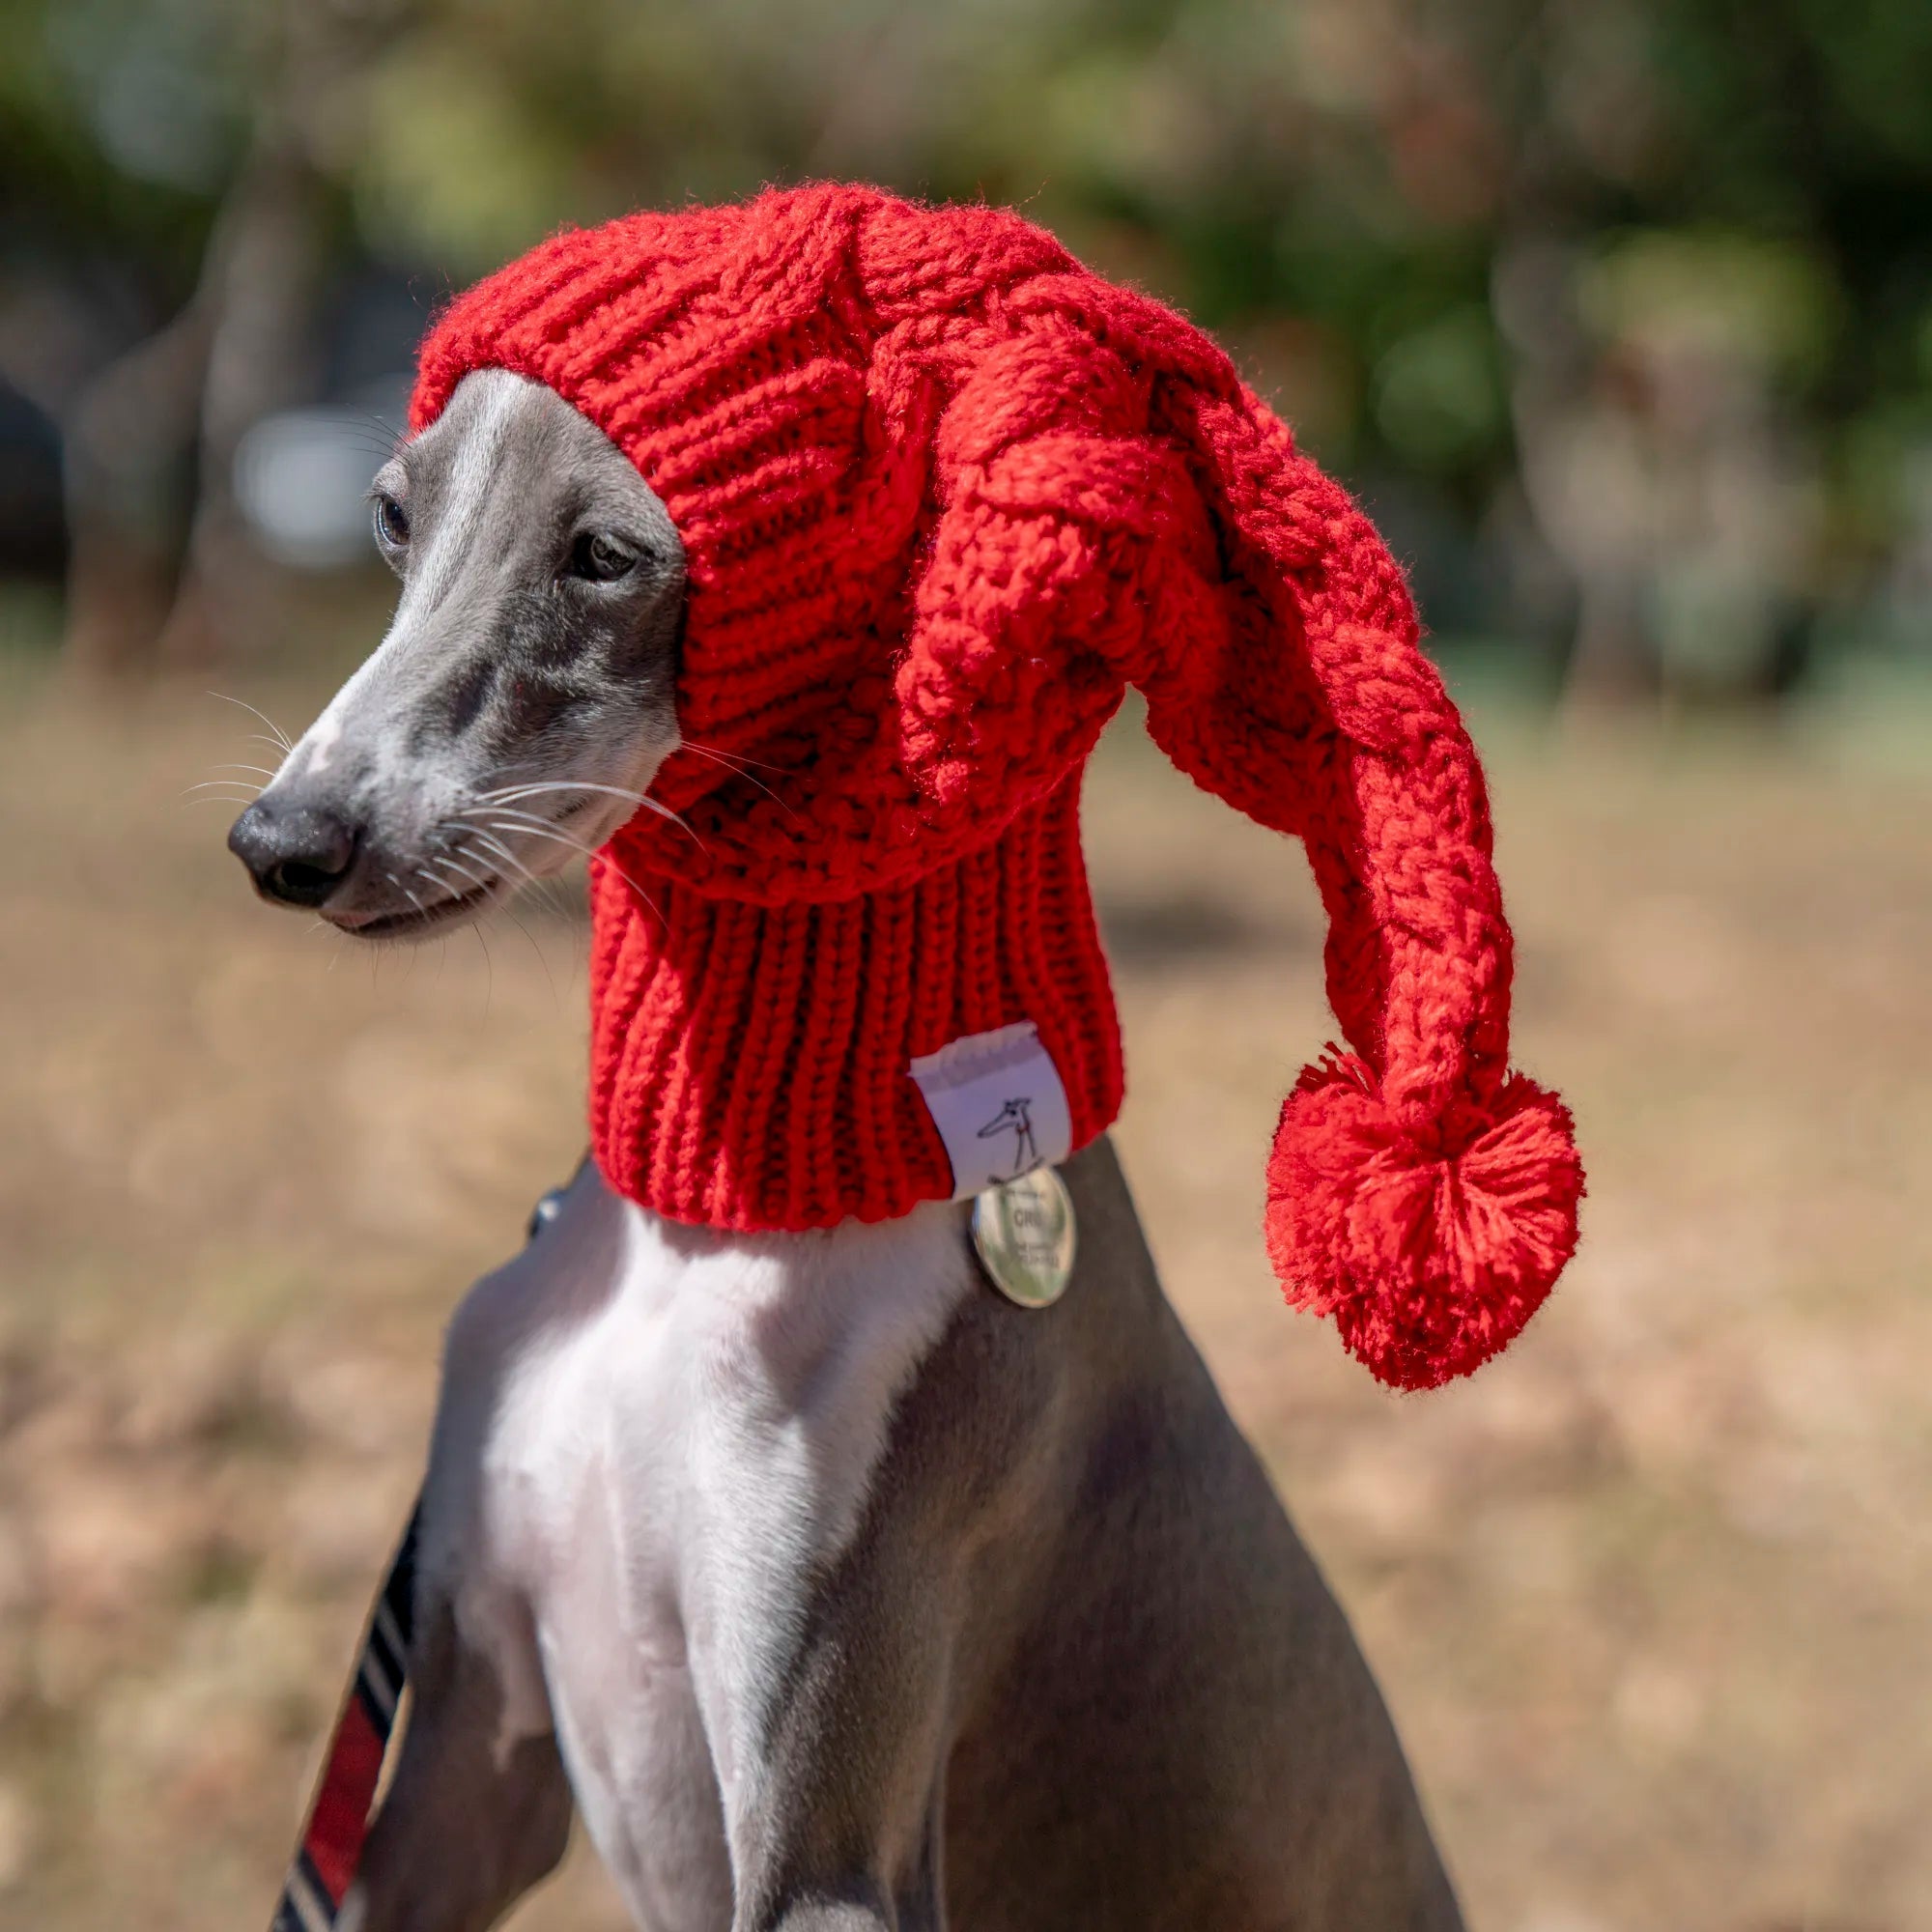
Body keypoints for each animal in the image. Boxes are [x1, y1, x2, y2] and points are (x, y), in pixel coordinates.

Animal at [226, 369, 1461, 1924]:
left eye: (607, 555)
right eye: (395, 514)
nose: (282, 840)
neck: (697, 1226)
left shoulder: (827, 1838)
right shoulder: (457, 1767)